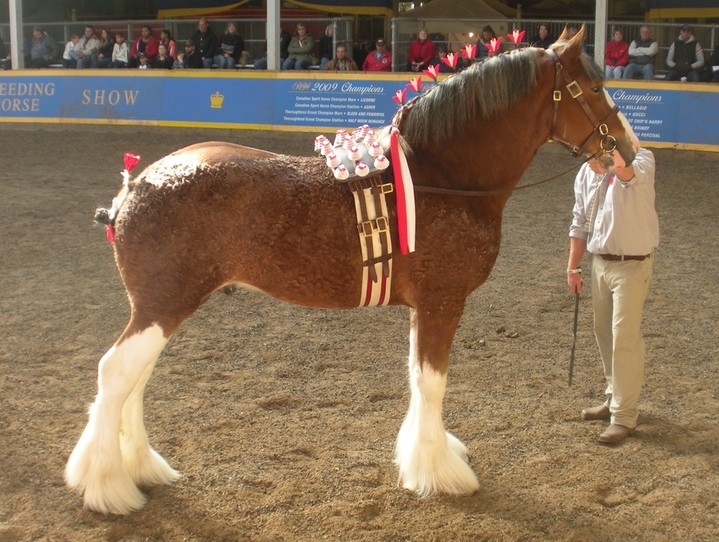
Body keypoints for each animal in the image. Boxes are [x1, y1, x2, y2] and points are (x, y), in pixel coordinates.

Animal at [67, 27, 640, 516]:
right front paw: (440, 473)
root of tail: (136, 185)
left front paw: (422, 458)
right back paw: (108, 487)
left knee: (134, 378)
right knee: (116, 373)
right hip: (162, 305)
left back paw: (142, 469)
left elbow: (417, 379)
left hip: (164, 307)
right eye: (593, 86)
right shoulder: (443, 301)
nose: (630, 151)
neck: (442, 175)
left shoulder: (425, 307)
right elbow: (433, 383)